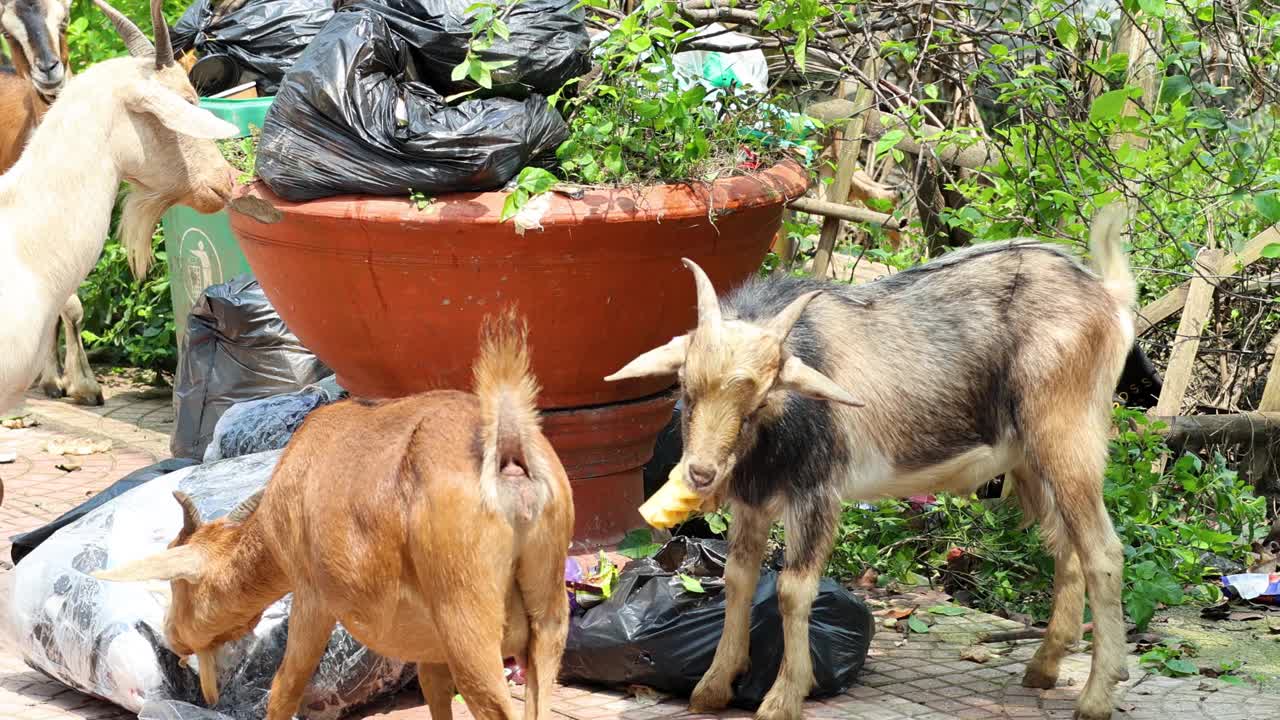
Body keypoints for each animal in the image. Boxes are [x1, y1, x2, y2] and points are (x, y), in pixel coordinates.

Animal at [97, 310, 578, 717]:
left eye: (178, 584)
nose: (172, 638)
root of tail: (507, 451)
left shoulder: (312, 596)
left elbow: (285, 687)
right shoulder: (429, 641)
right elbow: (433, 688)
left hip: (468, 615)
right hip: (549, 617)